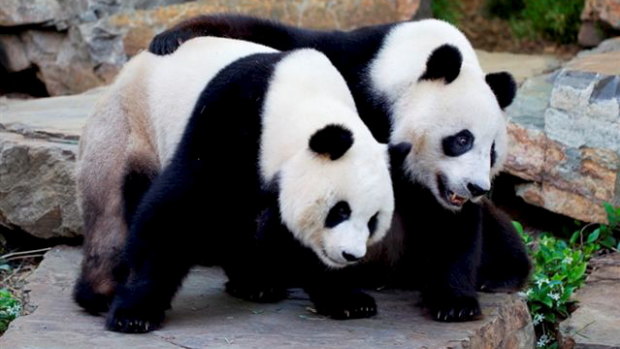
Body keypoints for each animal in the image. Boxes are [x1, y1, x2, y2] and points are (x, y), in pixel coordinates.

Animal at [74, 36, 406, 334]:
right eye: (339, 211)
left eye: (373, 220)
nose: (351, 255)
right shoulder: (231, 118)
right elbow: (177, 210)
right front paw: (135, 314)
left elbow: (287, 231)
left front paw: (348, 300)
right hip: (126, 128)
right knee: (111, 212)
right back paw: (100, 293)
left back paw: (255, 283)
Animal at [148, 15, 532, 320]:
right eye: (462, 139)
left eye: (493, 151)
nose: (477, 187)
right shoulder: (350, 70)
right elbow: (284, 41)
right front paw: (176, 36)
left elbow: (452, 225)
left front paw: (454, 302)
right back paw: (260, 281)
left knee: (497, 228)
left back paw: (501, 274)